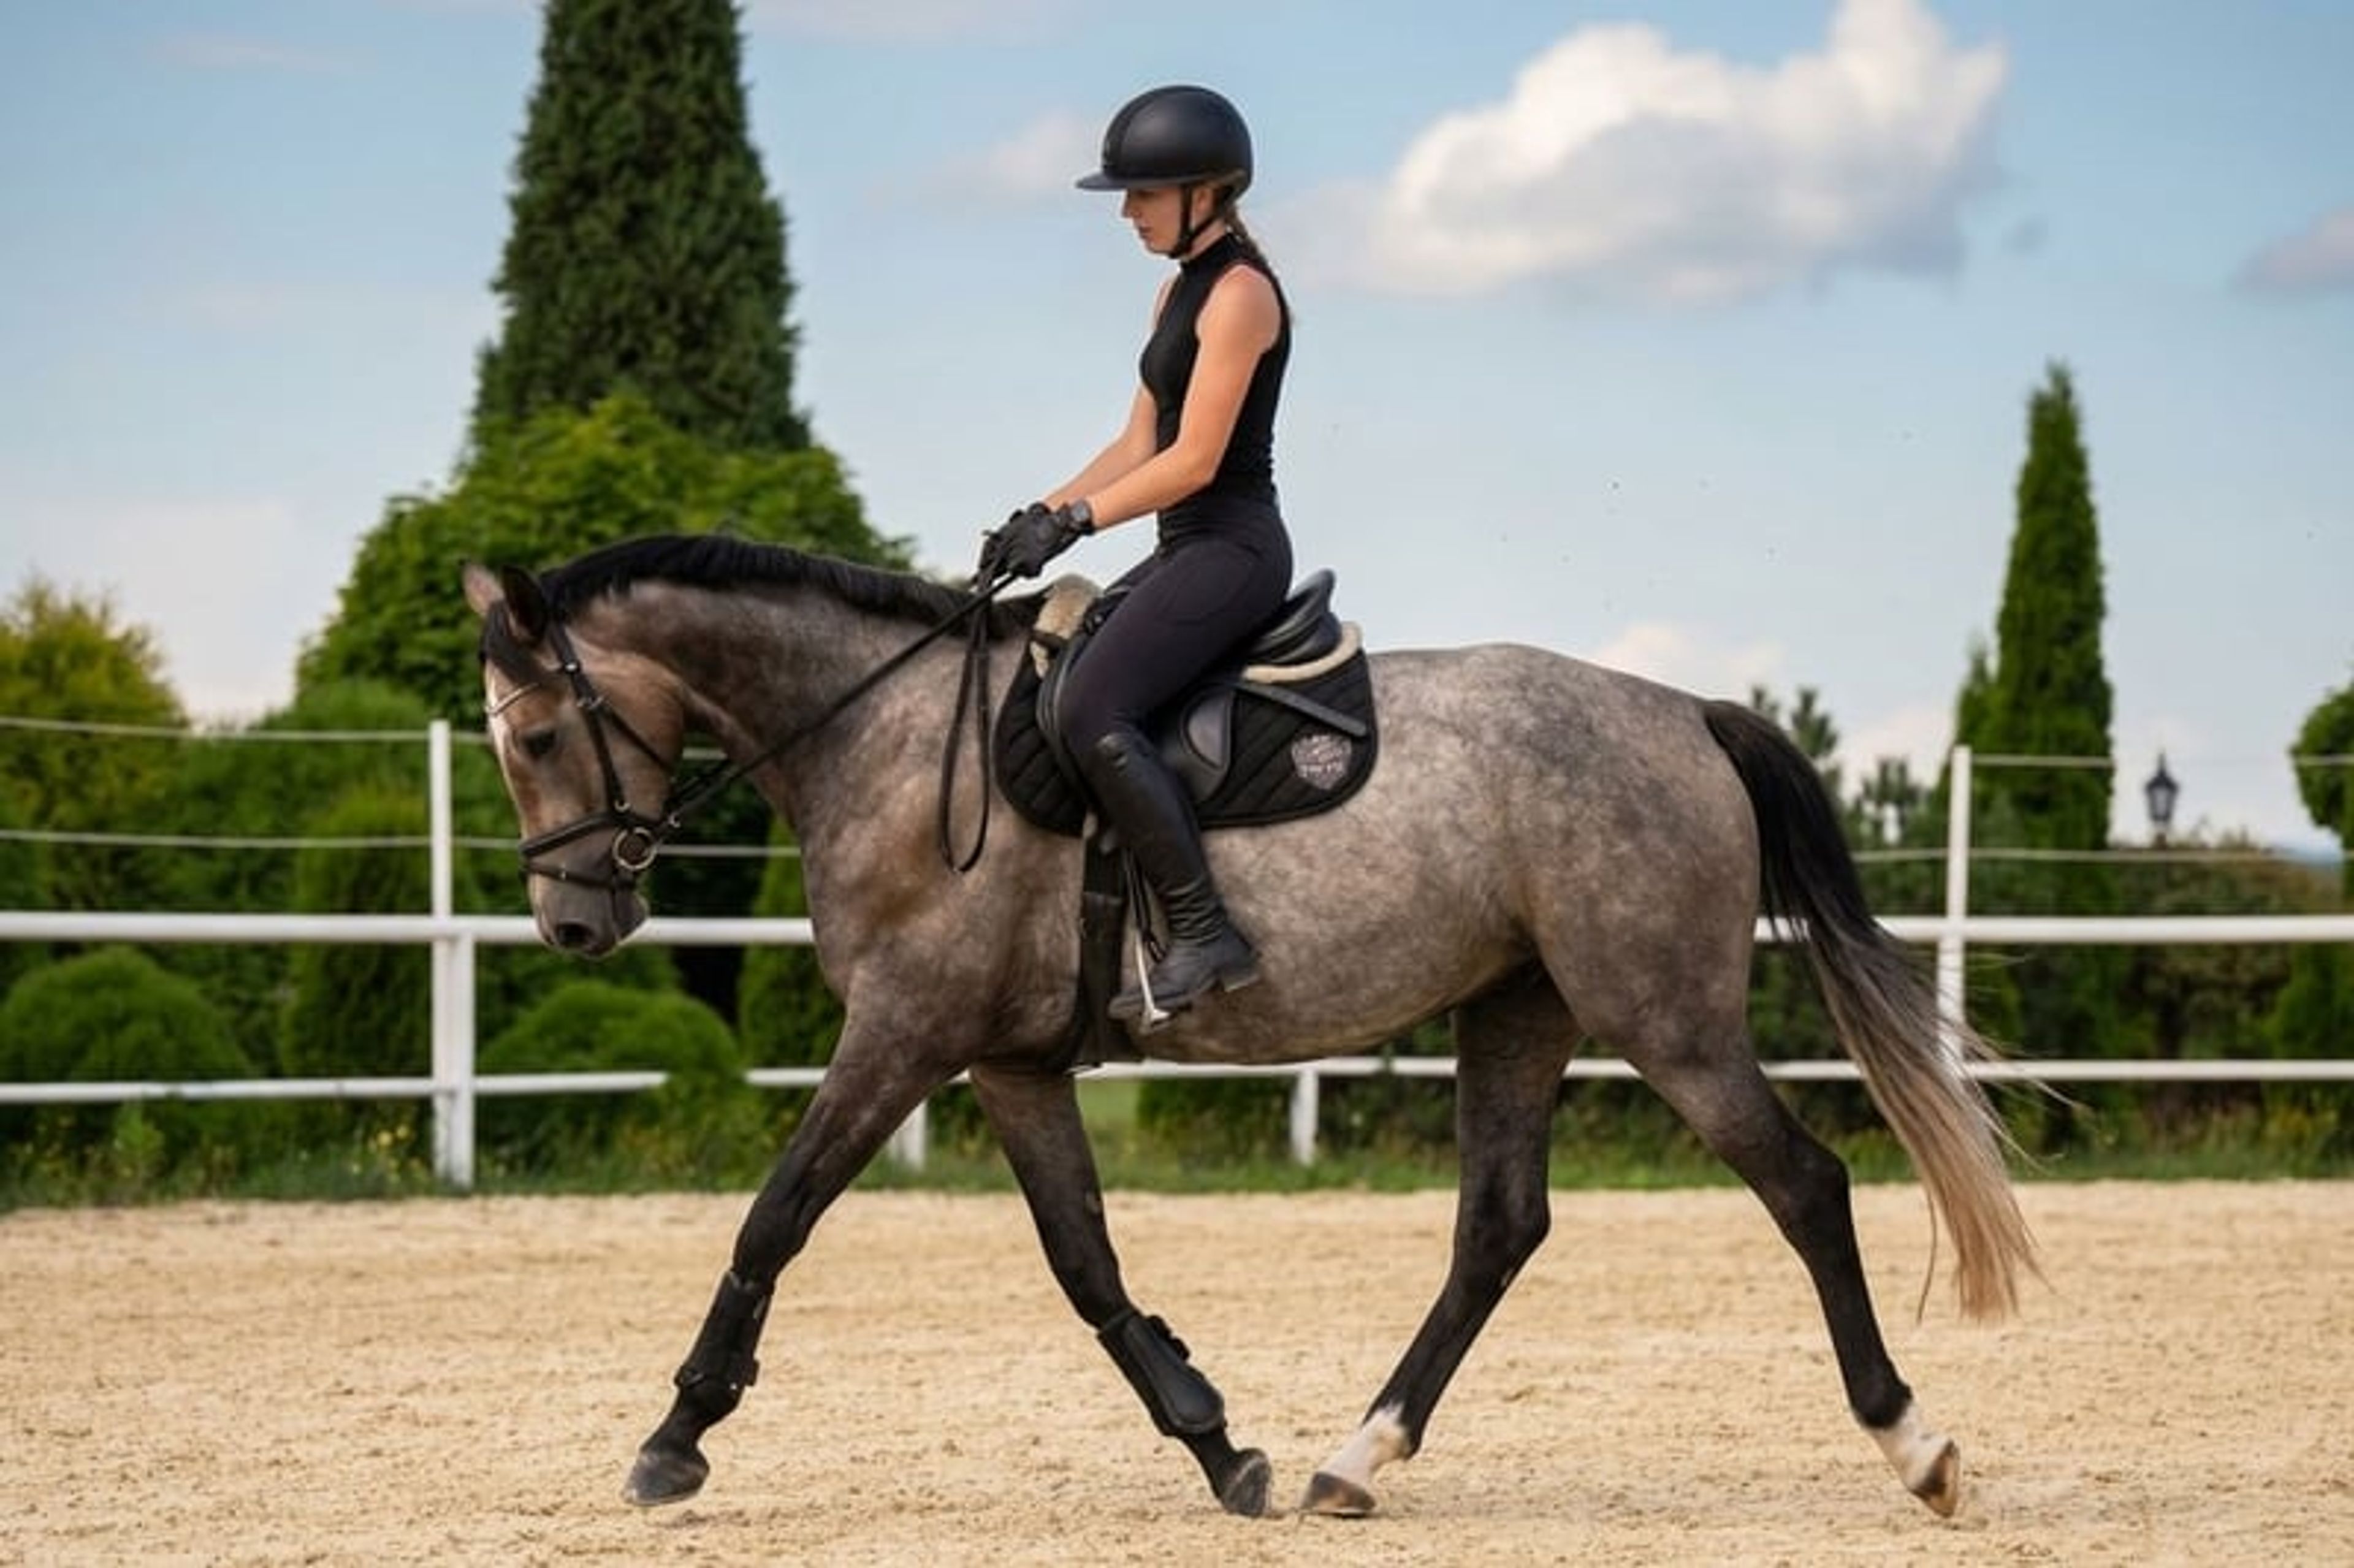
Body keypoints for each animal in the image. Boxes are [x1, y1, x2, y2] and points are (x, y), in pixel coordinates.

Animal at [461, 533, 2035, 1522]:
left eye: (533, 738)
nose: (573, 926)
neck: (895, 742)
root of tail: (1686, 710)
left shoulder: (902, 1039)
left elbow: (772, 1219)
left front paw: (674, 1437)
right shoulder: (1008, 1063)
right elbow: (1086, 1263)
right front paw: (1220, 1445)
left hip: (1664, 1016)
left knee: (1803, 1184)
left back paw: (1914, 1444)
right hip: (1518, 1011)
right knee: (1498, 1227)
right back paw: (1357, 1457)